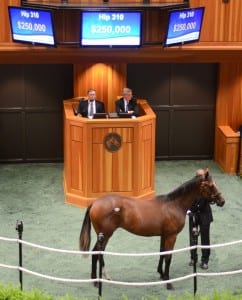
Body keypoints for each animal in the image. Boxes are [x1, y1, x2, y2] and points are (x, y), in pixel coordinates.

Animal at [79, 169, 225, 288]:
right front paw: (168, 282)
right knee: (96, 253)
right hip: (105, 235)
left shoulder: (164, 235)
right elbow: (168, 257)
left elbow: (162, 253)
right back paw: (96, 281)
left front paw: (161, 274)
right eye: (211, 185)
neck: (174, 204)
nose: (222, 201)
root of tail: (94, 203)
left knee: (98, 253)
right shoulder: (172, 236)